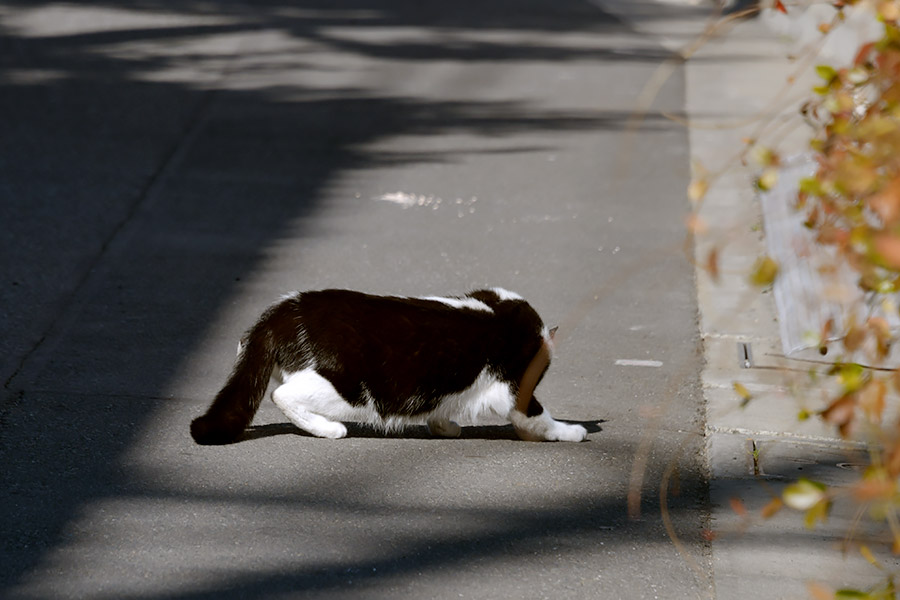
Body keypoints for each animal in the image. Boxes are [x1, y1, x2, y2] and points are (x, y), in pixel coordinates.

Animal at [186, 288, 588, 442]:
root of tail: (280, 311)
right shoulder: (514, 387)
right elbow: (539, 417)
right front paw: (570, 431)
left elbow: (442, 408)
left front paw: (444, 426)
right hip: (347, 388)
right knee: (283, 396)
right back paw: (328, 429)